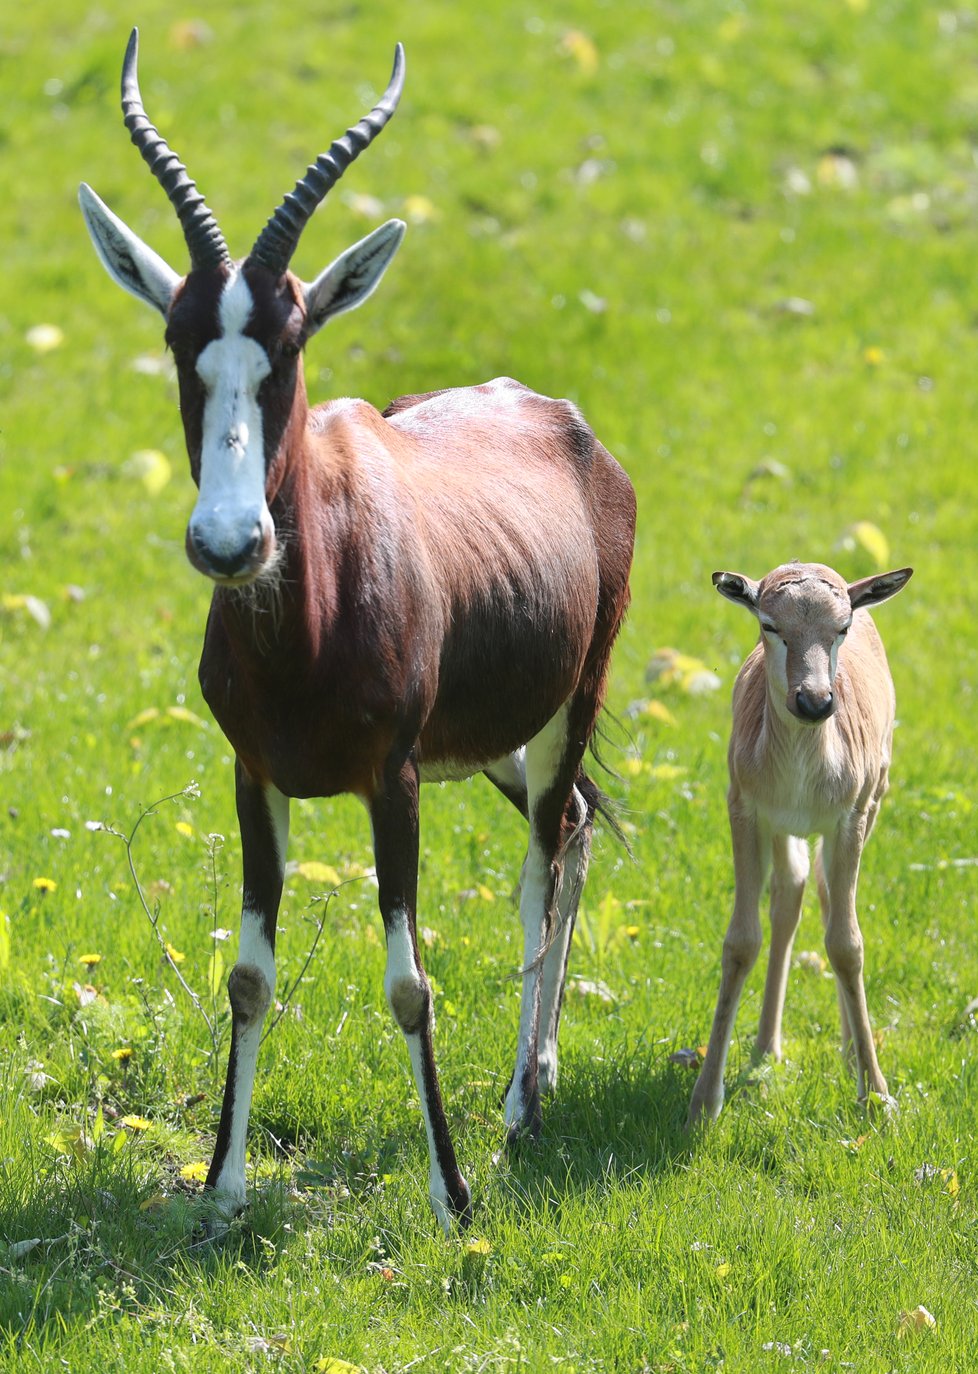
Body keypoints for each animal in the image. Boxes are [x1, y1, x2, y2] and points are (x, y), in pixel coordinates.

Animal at [686, 557, 906, 1126]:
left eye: (841, 627)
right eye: (769, 624)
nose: (813, 700)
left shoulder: (852, 816)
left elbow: (847, 944)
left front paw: (878, 1097)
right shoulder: (744, 808)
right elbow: (742, 941)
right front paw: (704, 1101)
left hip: (875, 799)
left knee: (828, 897)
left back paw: (851, 1051)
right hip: (786, 830)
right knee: (791, 894)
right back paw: (767, 1046)